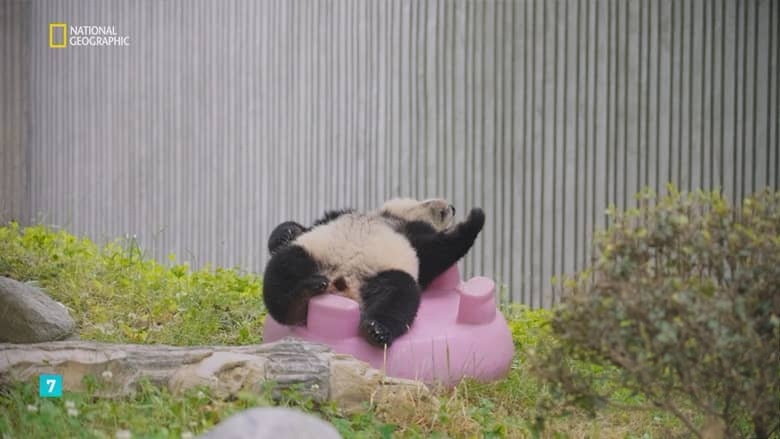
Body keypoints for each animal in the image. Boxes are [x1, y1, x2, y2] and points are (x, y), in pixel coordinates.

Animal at [263, 198, 485, 347]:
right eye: (443, 212)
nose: (452, 208)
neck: (390, 217)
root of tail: (340, 286)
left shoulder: (414, 243)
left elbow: (436, 254)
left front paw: (475, 217)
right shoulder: (339, 215)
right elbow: (304, 228)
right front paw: (287, 233)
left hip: (381, 274)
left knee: (399, 294)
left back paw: (377, 329)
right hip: (311, 255)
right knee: (283, 270)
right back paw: (300, 298)